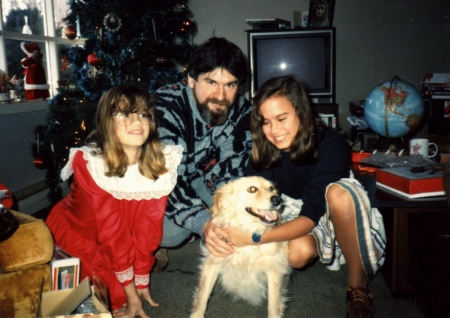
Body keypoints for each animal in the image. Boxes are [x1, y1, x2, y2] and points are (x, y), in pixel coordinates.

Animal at [191, 176, 292, 318]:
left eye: (272, 188)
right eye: (252, 189)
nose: (278, 200)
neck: (247, 230)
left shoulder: (274, 270)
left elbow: (273, 306)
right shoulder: (212, 264)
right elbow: (202, 298)